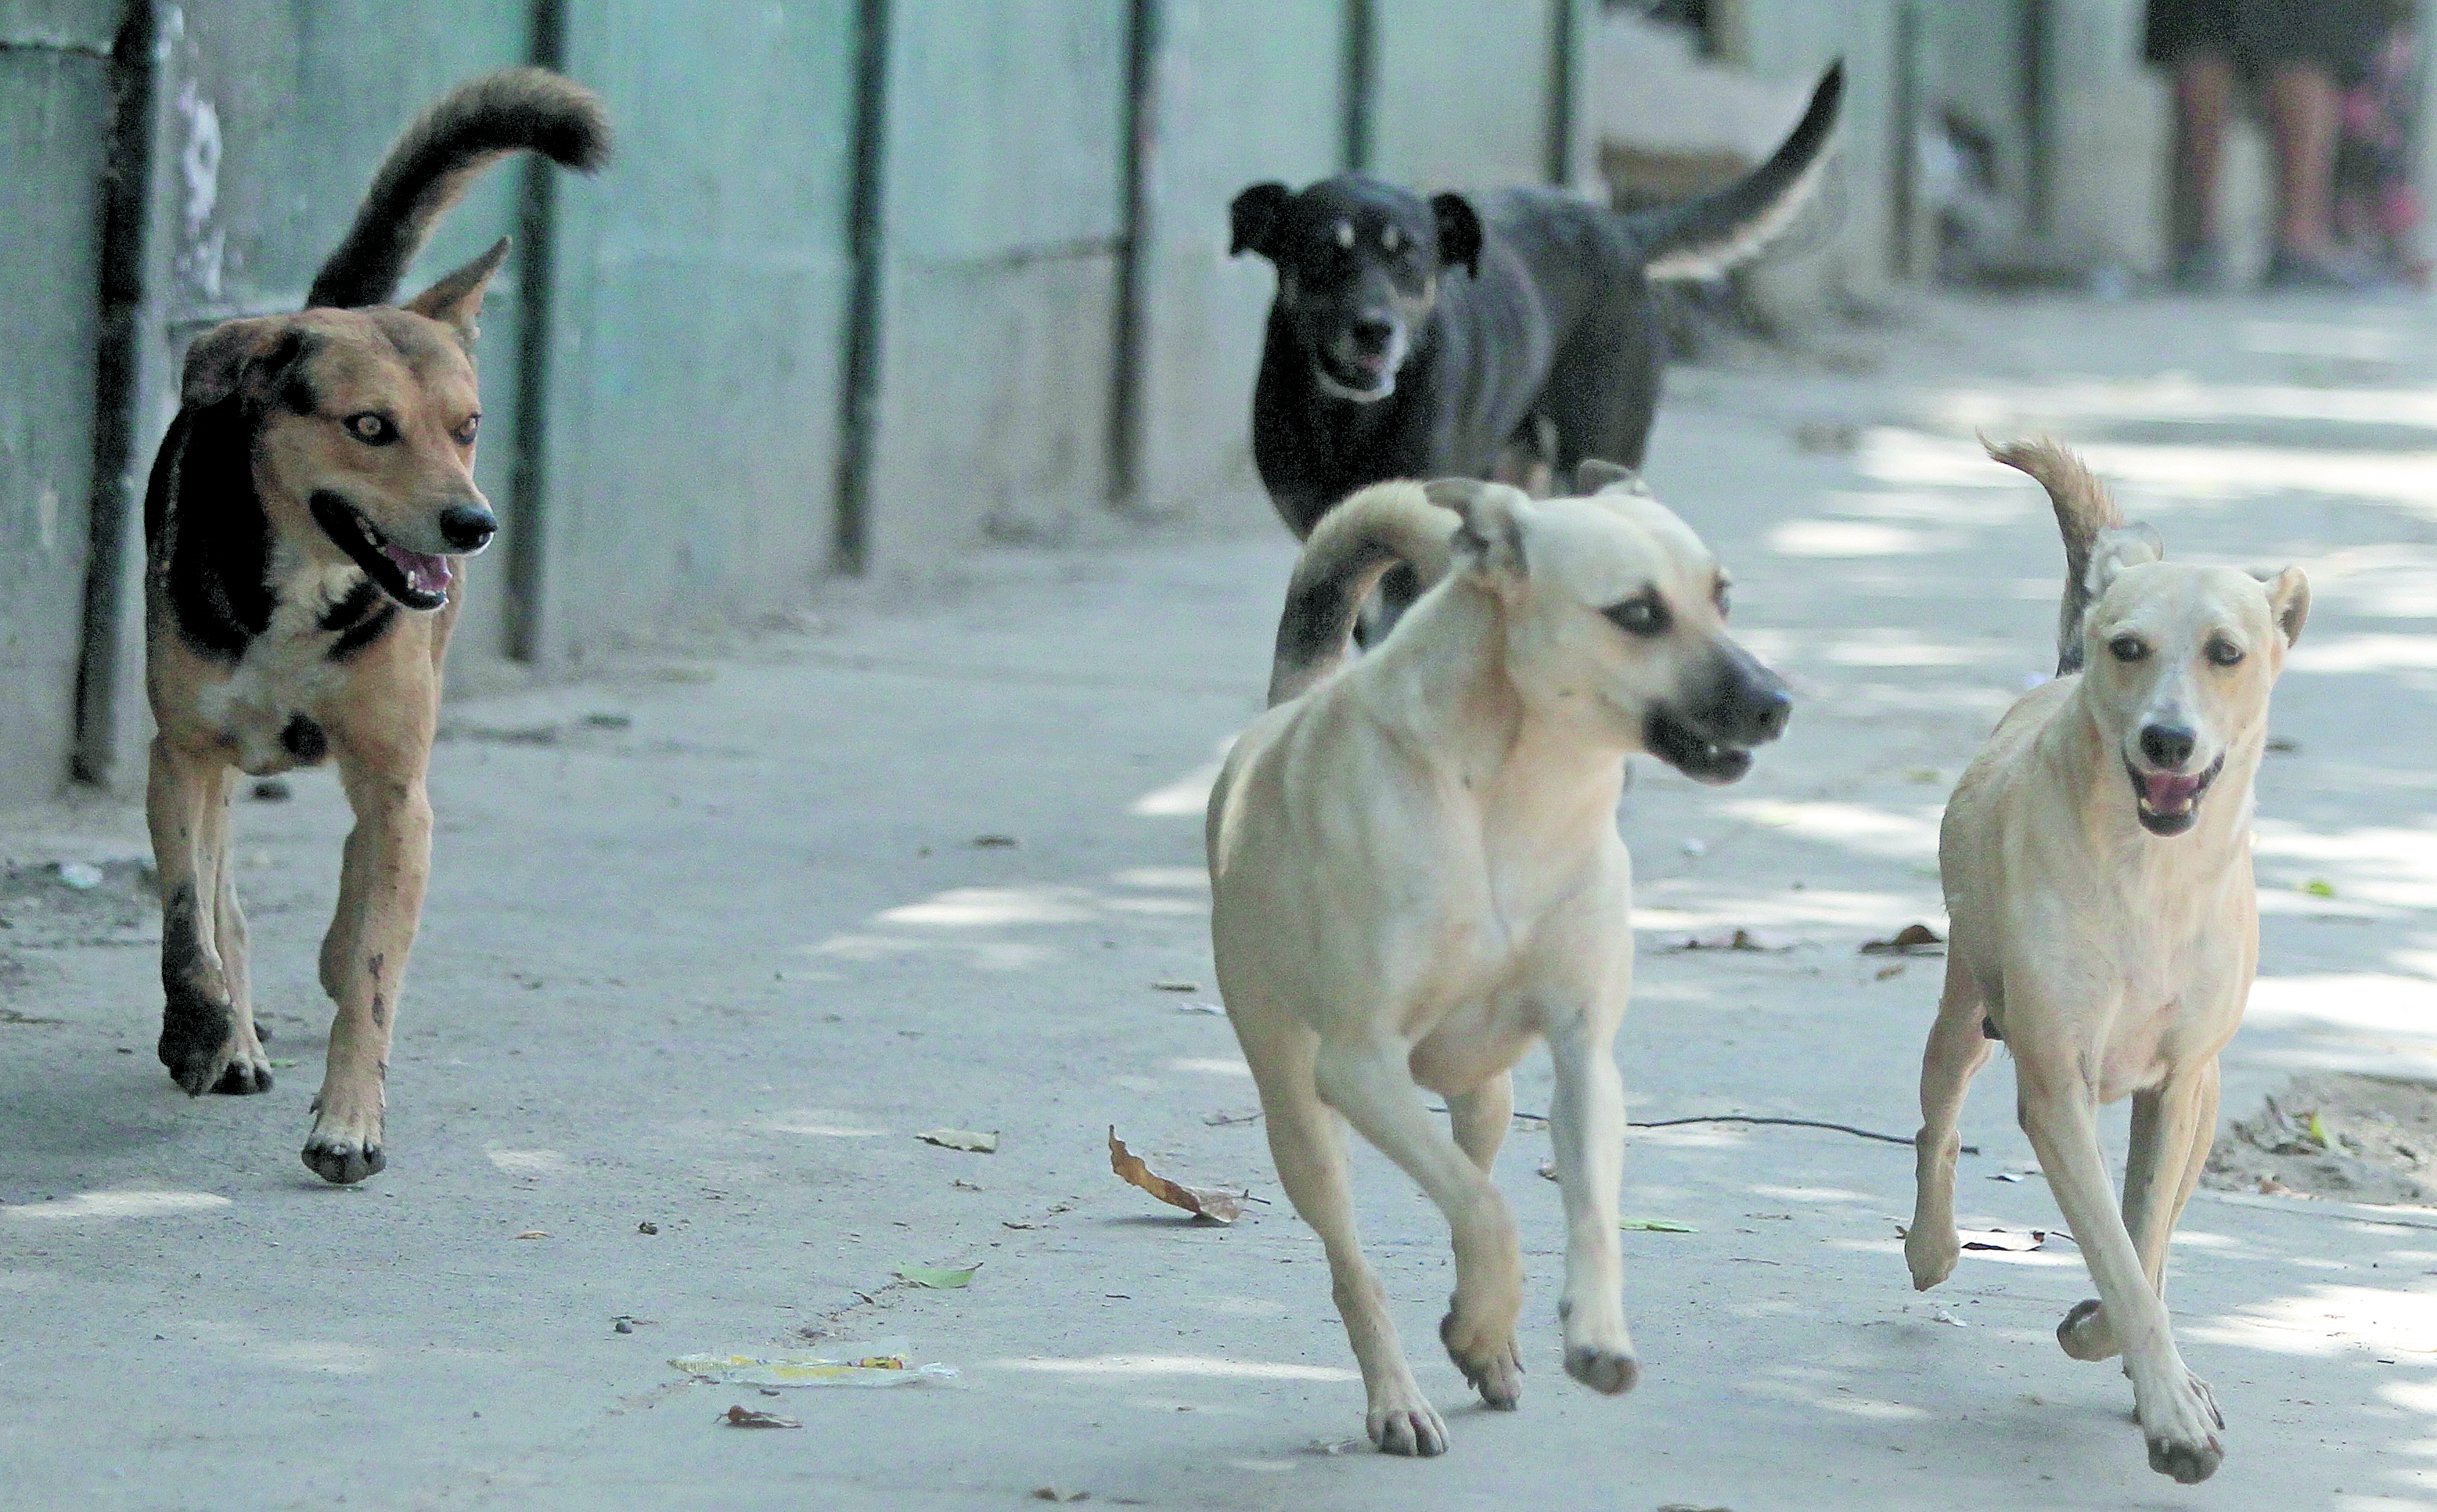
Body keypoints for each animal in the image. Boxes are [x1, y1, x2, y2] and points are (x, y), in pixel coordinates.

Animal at [141, 70, 609, 1180]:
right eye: (368, 427)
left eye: (470, 426)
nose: (475, 526)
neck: (305, 583)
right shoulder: (180, 753)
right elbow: (189, 918)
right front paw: (200, 1030)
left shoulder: (399, 787)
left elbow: (372, 969)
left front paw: (349, 1117)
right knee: (222, 898)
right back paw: (235, 1035)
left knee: (352, 899)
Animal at [1204, 460, 1793, 1453]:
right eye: (1637, 613)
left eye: (1722, 596)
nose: (1777, 702)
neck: (1517, 790)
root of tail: (1284, 709)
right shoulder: (1359, 1065)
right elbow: (1490, 1211)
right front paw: (1478, 1322)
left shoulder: (1584, 1053)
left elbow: (1582, 1211)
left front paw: (1586, 1335)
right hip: (1300, 1112)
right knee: (1361, 1255)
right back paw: (1401, 1392)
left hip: (1486, 1091)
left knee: (1470, 1163)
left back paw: (1490, 1345)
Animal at [1247, 66, 1832, 549]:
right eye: (1323, 253)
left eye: (1409, 257)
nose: (1374, 329)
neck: (1348, 415)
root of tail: (1620, 229)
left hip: (1596, 448)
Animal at [1900, 436, 2300, 1492]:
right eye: (2129, 647)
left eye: (2226, 653)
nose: (2167, 737)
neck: (2148, 876)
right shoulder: (2055, 1080)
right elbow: (2120, 1258)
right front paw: (2163, 1401)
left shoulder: (2183, 1085)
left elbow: (2142, 1239)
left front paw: (2133, 1358)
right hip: (1965, 1005)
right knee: (1939, 1119)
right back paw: (1932, 1246)